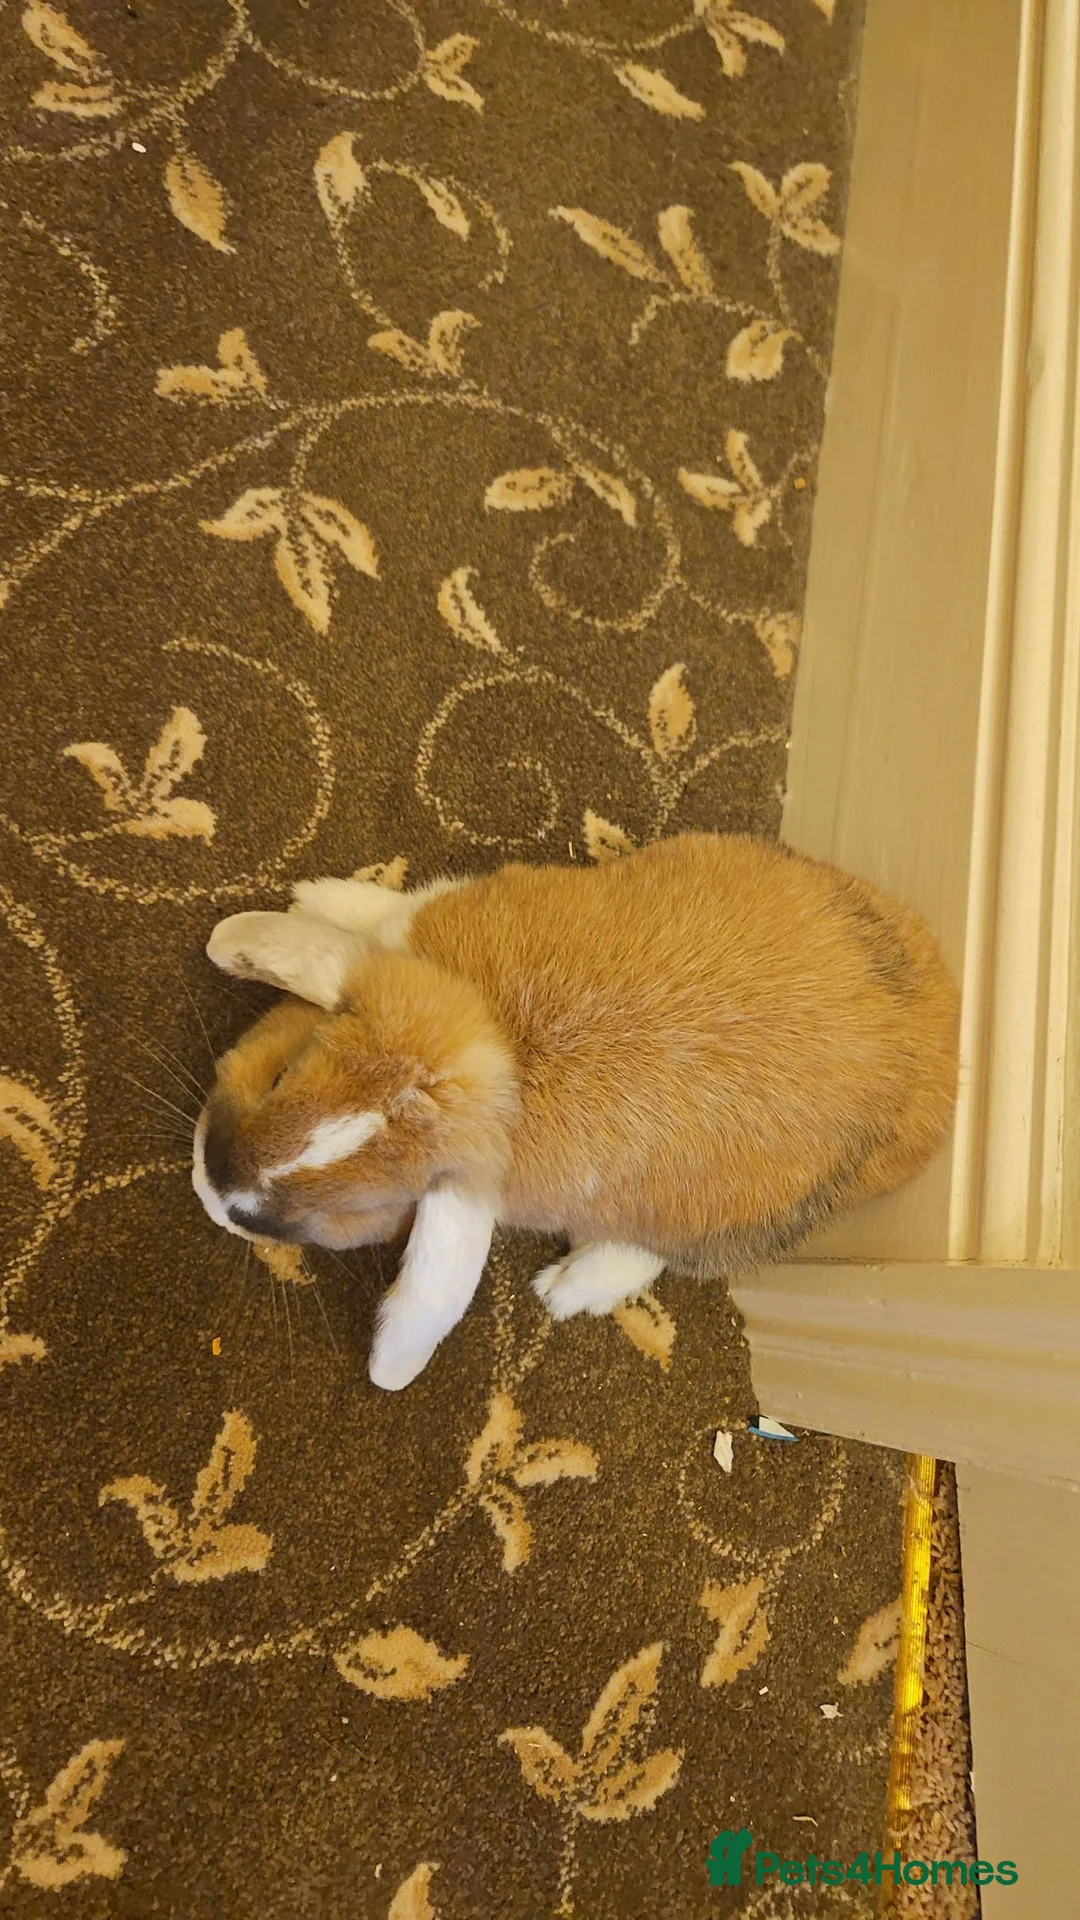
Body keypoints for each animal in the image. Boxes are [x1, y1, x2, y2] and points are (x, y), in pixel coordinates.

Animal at [193, 833, 959, 1391]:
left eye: (359, 1210)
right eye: (284, 1074)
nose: (211, 1190)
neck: (506, 1047)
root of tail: (946, 1052)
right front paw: (304, 902)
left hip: (733, 1221)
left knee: (657, 1254)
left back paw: (569, 1288)